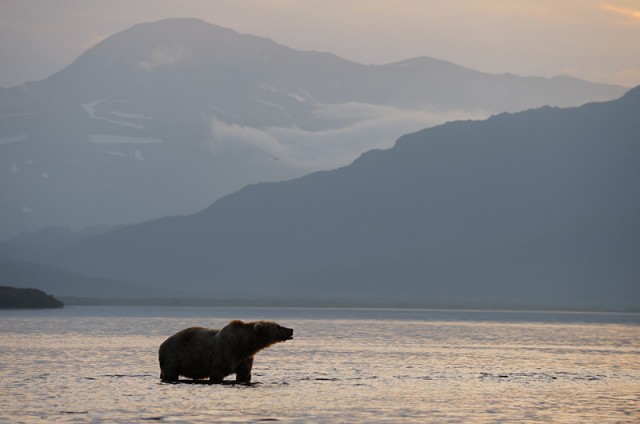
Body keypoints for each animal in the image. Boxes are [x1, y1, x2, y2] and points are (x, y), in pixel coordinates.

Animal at [159, 320, 294, 382]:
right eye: (277, 327)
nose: (291, 329)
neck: (242, 346)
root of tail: (162, 344)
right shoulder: (223, 356)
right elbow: (217, 374)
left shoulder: (245, 359)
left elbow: (244, 374)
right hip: (173, 358)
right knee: (170, 374)